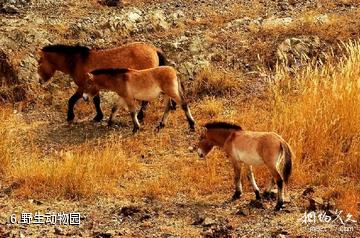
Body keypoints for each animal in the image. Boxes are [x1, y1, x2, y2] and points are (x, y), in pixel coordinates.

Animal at [37, 41, 167, 122]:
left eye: (39, 61)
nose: (39, 80)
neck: (77, 62)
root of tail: (153, 49)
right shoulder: (93, 88)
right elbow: (96, 102)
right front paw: (98, 116)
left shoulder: (82, 87)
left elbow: (72, 100)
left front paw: (70, 116)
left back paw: (140, 116)